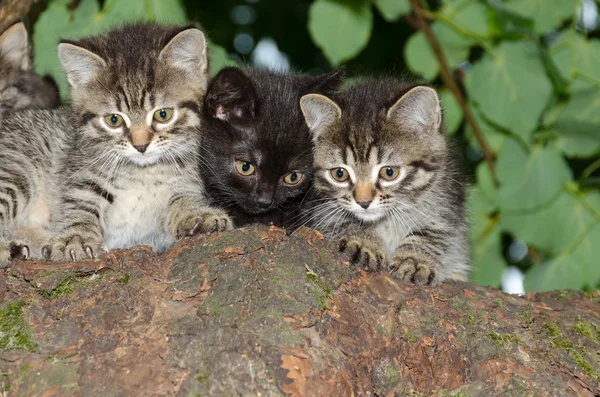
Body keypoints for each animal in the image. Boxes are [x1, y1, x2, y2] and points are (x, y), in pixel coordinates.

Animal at [0, 20, 230, 262]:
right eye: (114, 120)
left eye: (163, 114)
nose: (140, 146)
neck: (143, 173)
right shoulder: (80, 172)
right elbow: (80, 203)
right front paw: (77, 238)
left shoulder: (189, 180)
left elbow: (183, 197)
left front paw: (196, 214)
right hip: (18, 168)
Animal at [300, 79, 468, 284]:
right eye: (339, 174)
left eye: (389, 172)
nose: (363, 202)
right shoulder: (319, 210)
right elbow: (341, 221)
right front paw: (363, 241)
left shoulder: (446, 203)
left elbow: (437, 233)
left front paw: (414, 259)